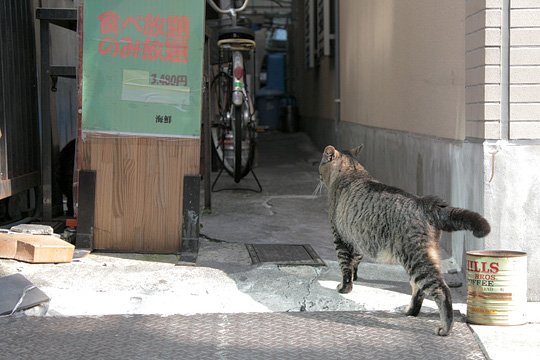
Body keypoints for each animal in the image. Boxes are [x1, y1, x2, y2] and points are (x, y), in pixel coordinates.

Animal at [318, 145, 492, 336]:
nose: (318, 175)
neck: (352, 172)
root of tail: (424, 203)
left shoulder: (340, 238)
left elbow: (345, 268)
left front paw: (345, 288)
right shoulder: (356, 241)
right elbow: (354, 262)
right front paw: (355, 277)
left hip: (416, 259)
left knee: (441, 290)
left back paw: (445, 328)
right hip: (422, 258)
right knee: (418, 290)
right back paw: (410, 312)